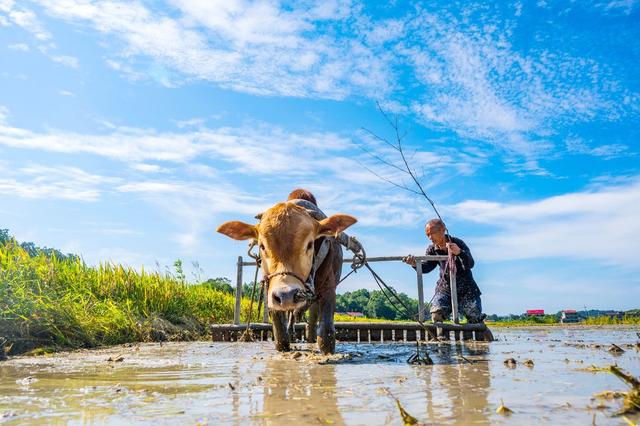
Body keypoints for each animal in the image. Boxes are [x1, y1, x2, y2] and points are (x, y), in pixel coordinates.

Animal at [215, 202, 356, 352]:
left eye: (310, 244)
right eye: (262, 246)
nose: (286, 295)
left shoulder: (328, 287)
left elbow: (326, 333)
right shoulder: (270, 289)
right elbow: (280, 335)